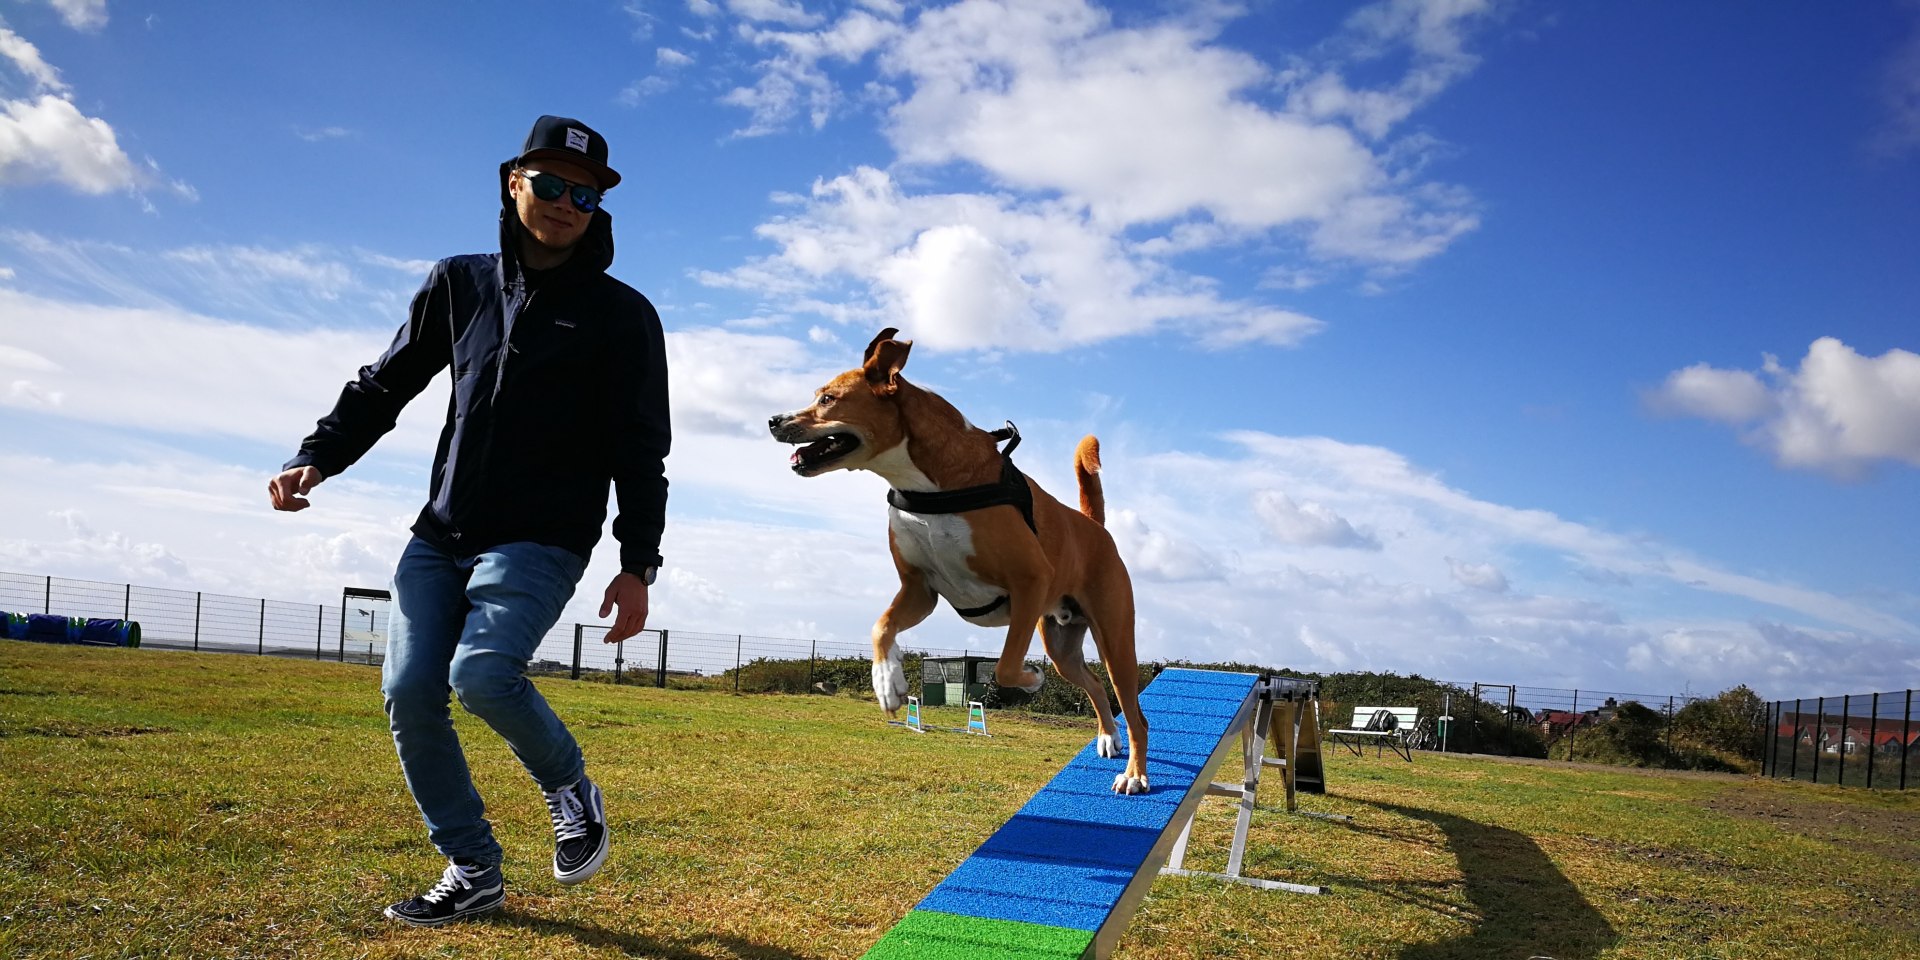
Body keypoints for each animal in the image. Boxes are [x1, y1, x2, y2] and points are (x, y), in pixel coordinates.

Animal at [768, 330, 1152, 794]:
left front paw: (1031, 679)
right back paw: (1108, 736)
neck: (926, 485)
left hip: (1115, 641)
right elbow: (881, 627)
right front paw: (888, 682)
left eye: (828, 398)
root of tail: (1094, 527)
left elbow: (1005, 666)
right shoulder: (919, 590)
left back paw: (1134, 774)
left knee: (1136, 715)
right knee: (1094, 684)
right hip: (1062, 645)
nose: (773, 420)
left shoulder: (1030, 581)